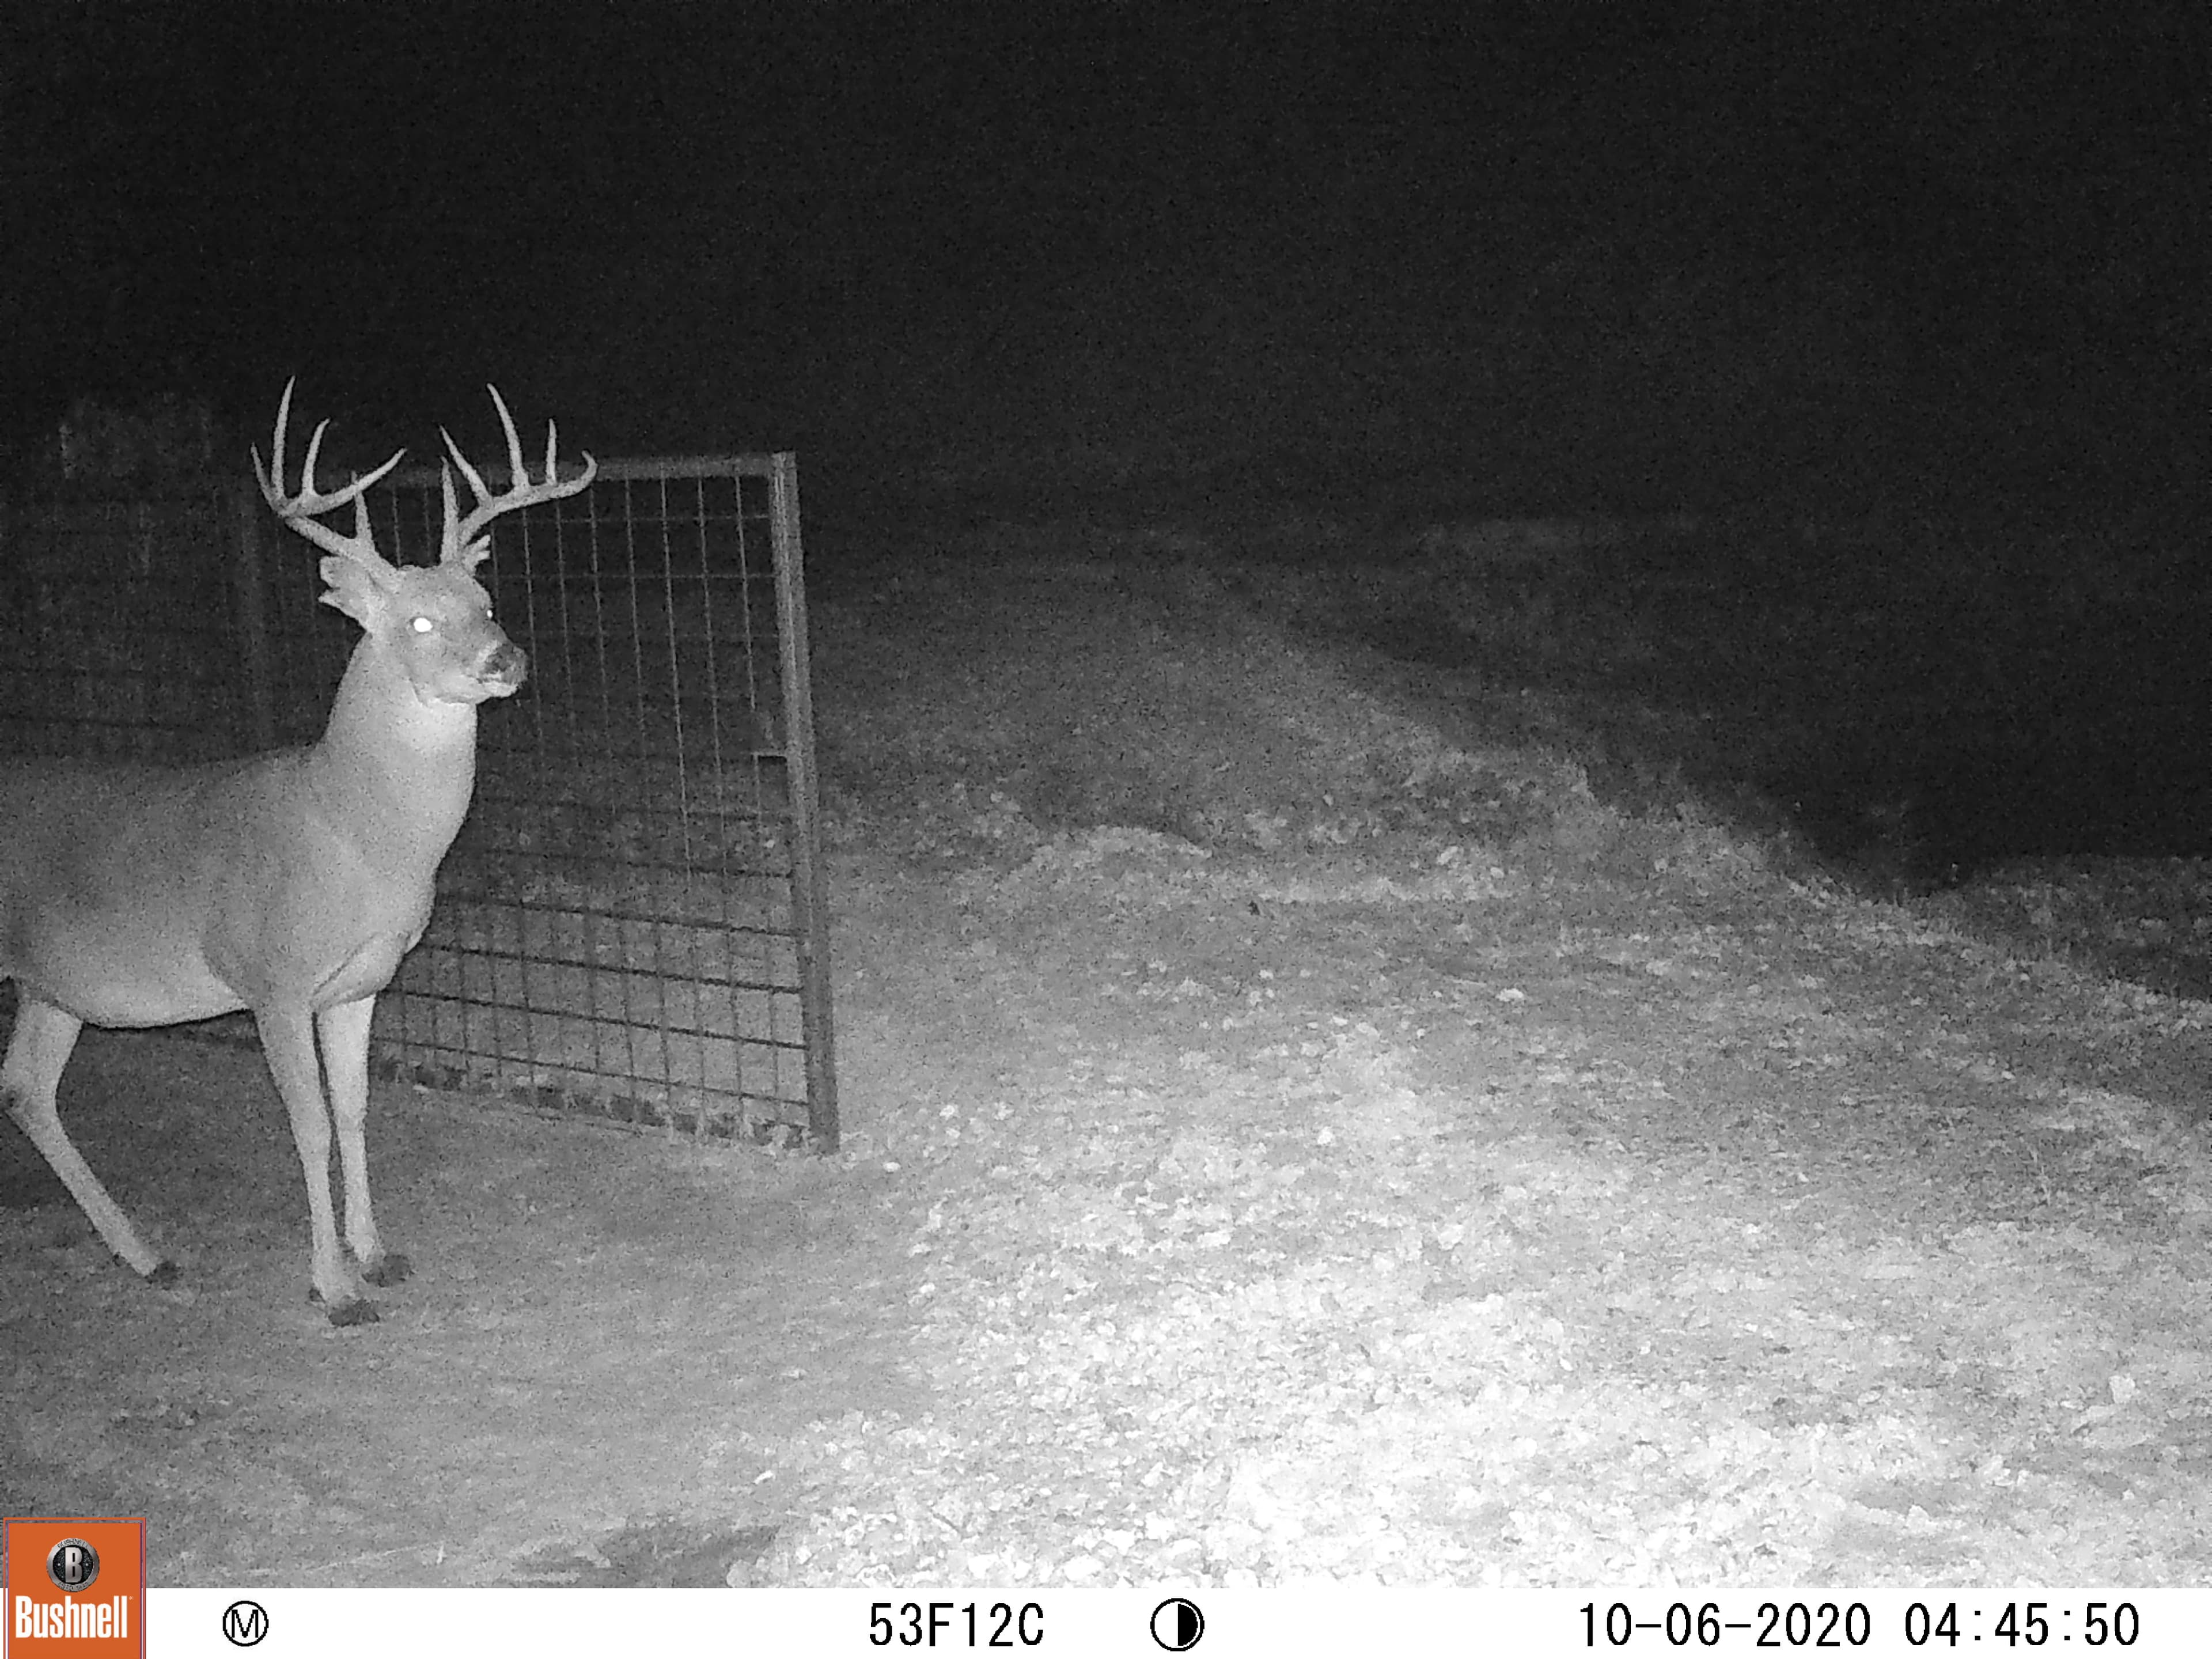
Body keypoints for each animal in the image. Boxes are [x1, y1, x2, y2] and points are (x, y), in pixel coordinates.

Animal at [0, 381, 594, 1325]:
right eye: (417, 618)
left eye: (487, 600)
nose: (507, 659)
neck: (352, 834)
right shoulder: (268, 977)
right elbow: (308, 1125)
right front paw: (335, 1288)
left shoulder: (357, 985)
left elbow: (353, 1112)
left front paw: (378, 1255)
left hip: (52, 985)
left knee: (25, 1086)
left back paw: (147, 1254)